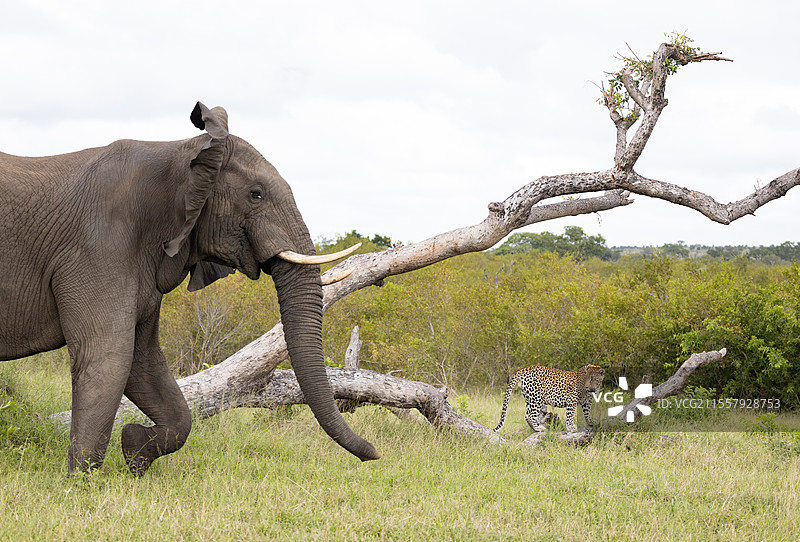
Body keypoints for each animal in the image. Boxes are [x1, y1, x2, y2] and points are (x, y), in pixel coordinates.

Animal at [0, 102, 380, 474]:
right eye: (255, 195)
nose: (374, 455)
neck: (181, 152)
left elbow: (146, 364)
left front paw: (134, 451)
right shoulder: (98, 247)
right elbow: (109, 356)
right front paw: (81, 481)